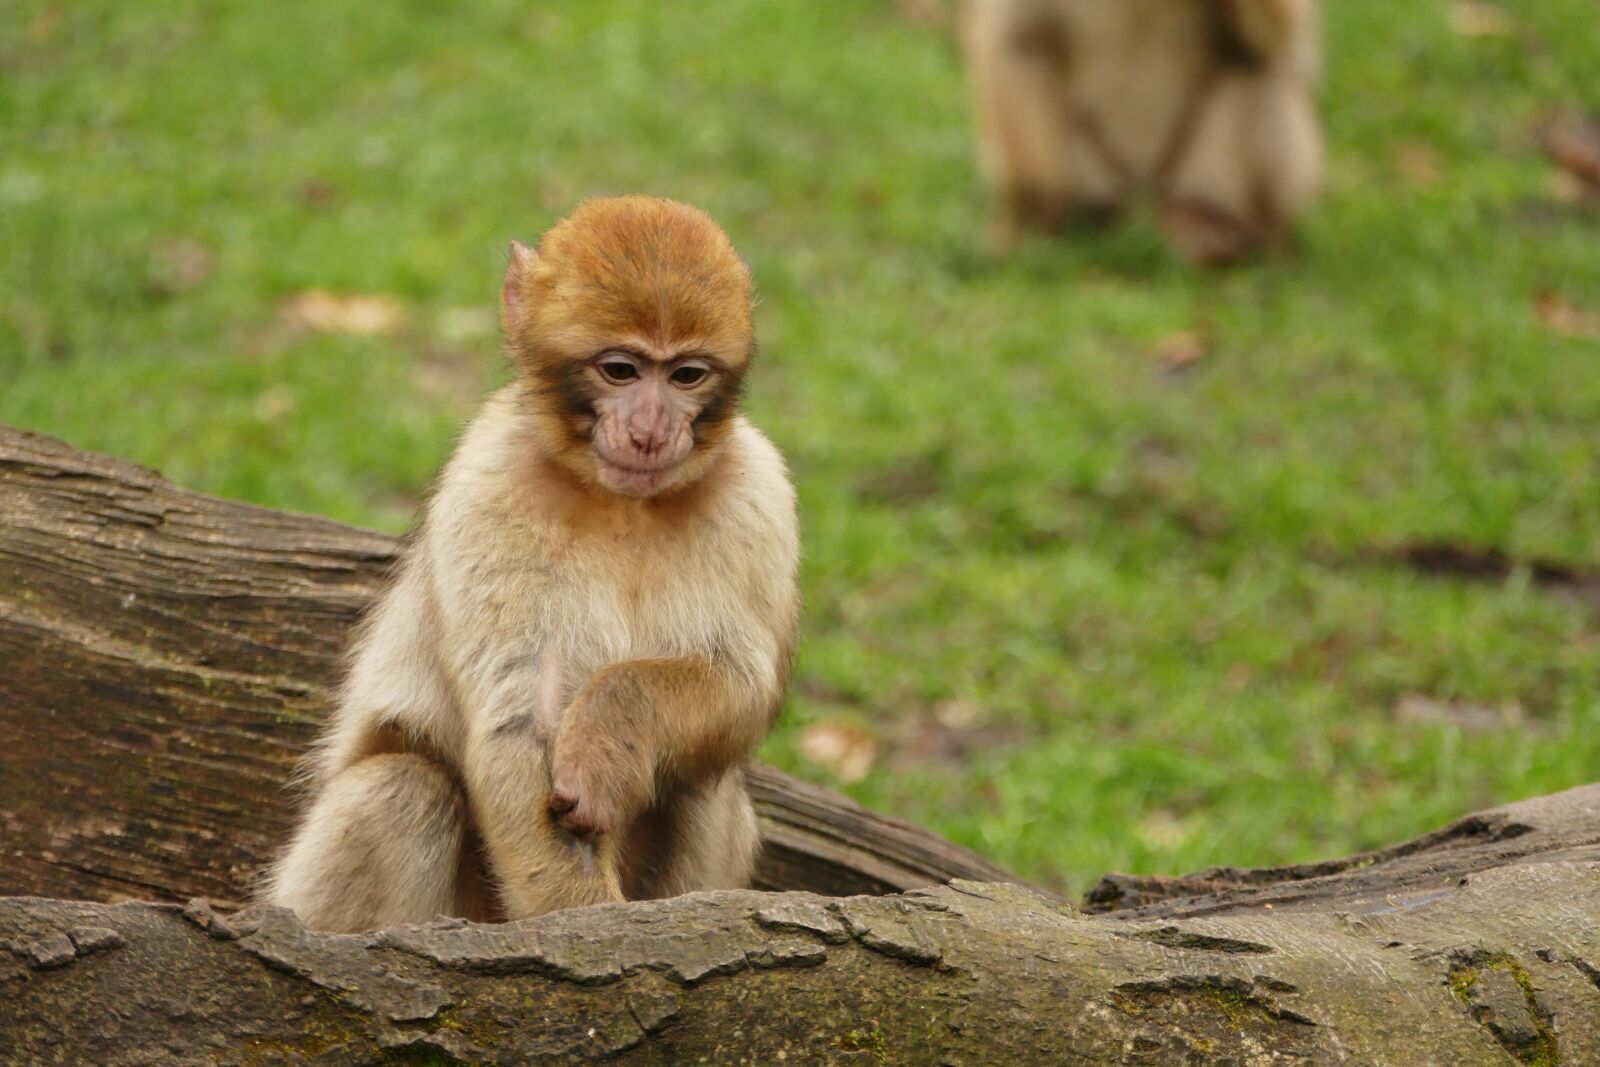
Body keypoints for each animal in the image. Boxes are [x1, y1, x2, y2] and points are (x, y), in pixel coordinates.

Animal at [265, 196, 801, 933]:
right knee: (401, 787)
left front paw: (611, 731)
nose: (649, 432)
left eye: (686, 374)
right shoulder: (490, 483)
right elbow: (520, 719)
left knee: (704, 787)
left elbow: (740, 681)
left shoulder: (758, 492)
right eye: (621, 370)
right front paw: (593, 928)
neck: (620, 503)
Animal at [960, 0, 1323, 264]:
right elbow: (1018, 39)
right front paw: (1035, 214)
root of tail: (1141, 198)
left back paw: (1236, 233)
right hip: (1095, 173)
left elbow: (1283, 41)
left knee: (1255, 67)